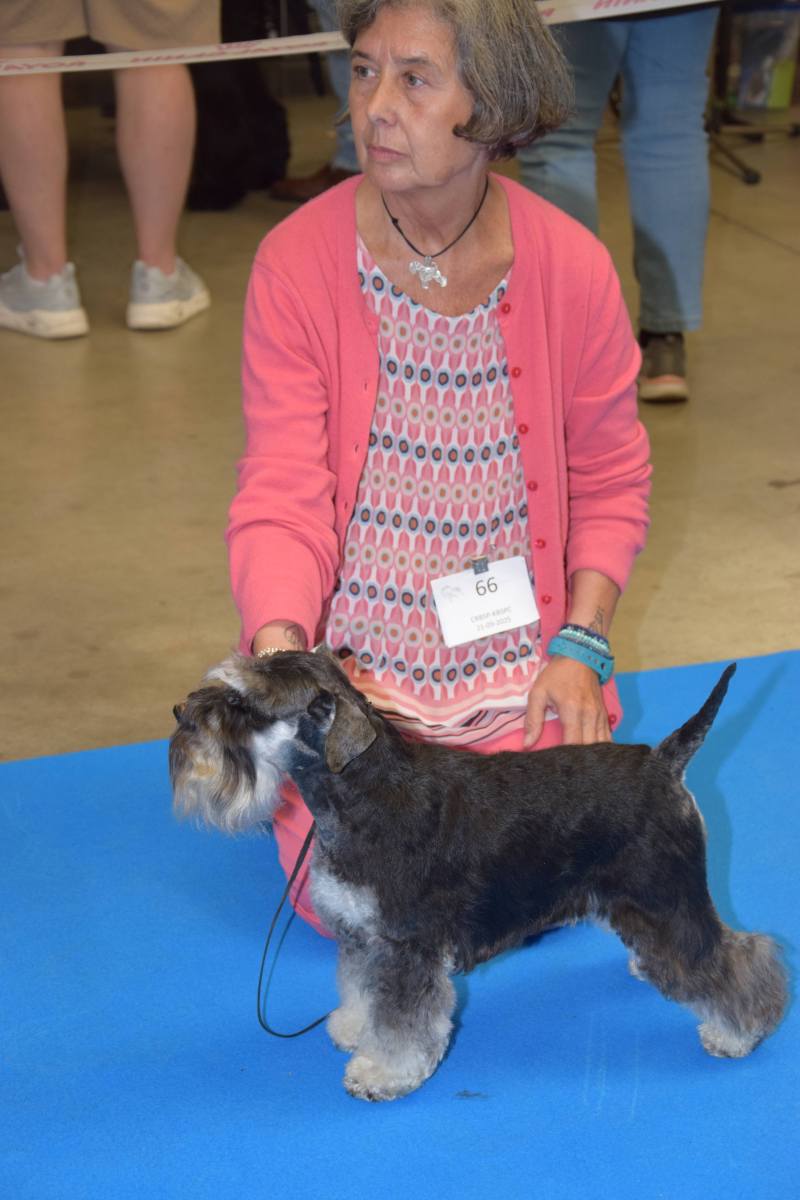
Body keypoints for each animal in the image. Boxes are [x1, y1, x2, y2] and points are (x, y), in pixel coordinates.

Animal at [169, 651, 787, 1101]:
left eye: (243, 704)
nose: (180, 715)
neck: (360, 793)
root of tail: (663, 762)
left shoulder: (405, 947)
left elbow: (401, 1022)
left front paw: (381, 1073)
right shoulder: (362, 937)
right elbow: (361, 990)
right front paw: (352, 1027)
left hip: (667, 896)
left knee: (732, 956)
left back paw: (739, 1031)